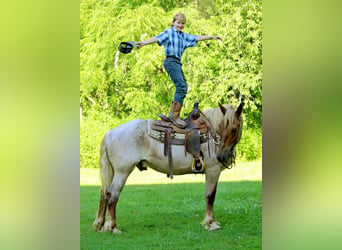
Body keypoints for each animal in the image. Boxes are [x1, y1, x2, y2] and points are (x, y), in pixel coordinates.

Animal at [92, 102, 244, 234]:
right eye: (222, 126)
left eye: (233, 129)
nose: (220, 156)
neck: (211, 133)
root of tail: (111, 133)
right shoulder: (212, 170)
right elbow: (210, 196)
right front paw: (210, 223)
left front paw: (212, 222)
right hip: (122, 172)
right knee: (112, 195)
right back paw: (113, 227)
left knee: (104, 194)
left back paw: (100, 225)